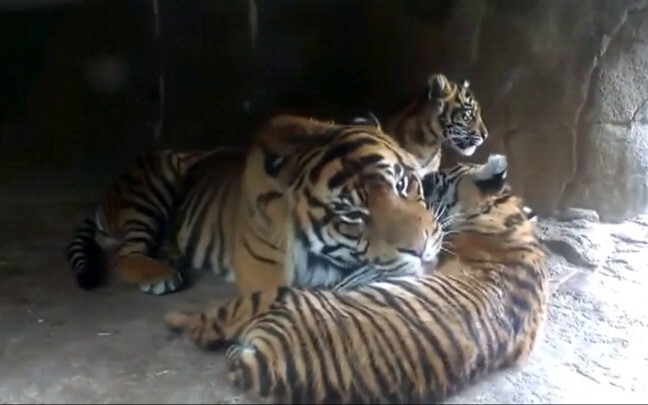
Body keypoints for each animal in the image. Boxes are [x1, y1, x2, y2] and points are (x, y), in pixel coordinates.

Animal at [66, 115, 442, 296]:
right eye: (352, 214)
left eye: (402, 184)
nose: (420, 248)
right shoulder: (264, 276)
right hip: (152, 184)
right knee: (124, 255)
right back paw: (161, 275)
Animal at [163, 153, 548, 402]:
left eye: (439, 178)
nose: (418, 177)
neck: (507, 221)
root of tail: (266, 365)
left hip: (283, 297)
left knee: (207, 324)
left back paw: (175, 317)